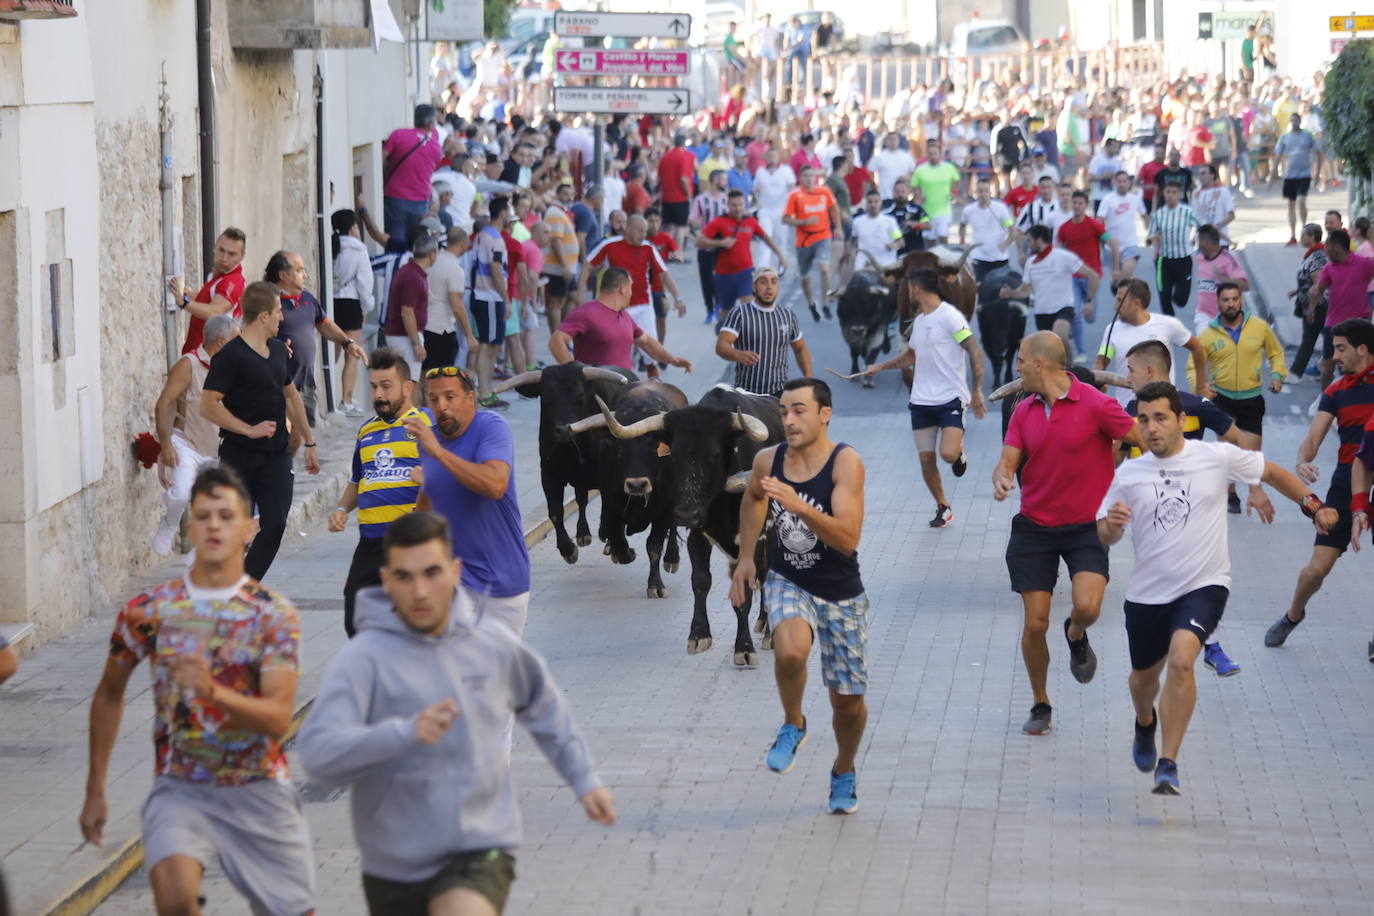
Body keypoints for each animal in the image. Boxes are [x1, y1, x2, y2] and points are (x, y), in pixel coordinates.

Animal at [599, 384, 785, 667]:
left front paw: (744, 648)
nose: (686, 512)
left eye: (715, 454)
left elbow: (746, 585)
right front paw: (699, 636)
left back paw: (769, 632)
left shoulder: (755, 538)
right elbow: (700, 580)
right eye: (673, 455)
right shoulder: (697, 534)